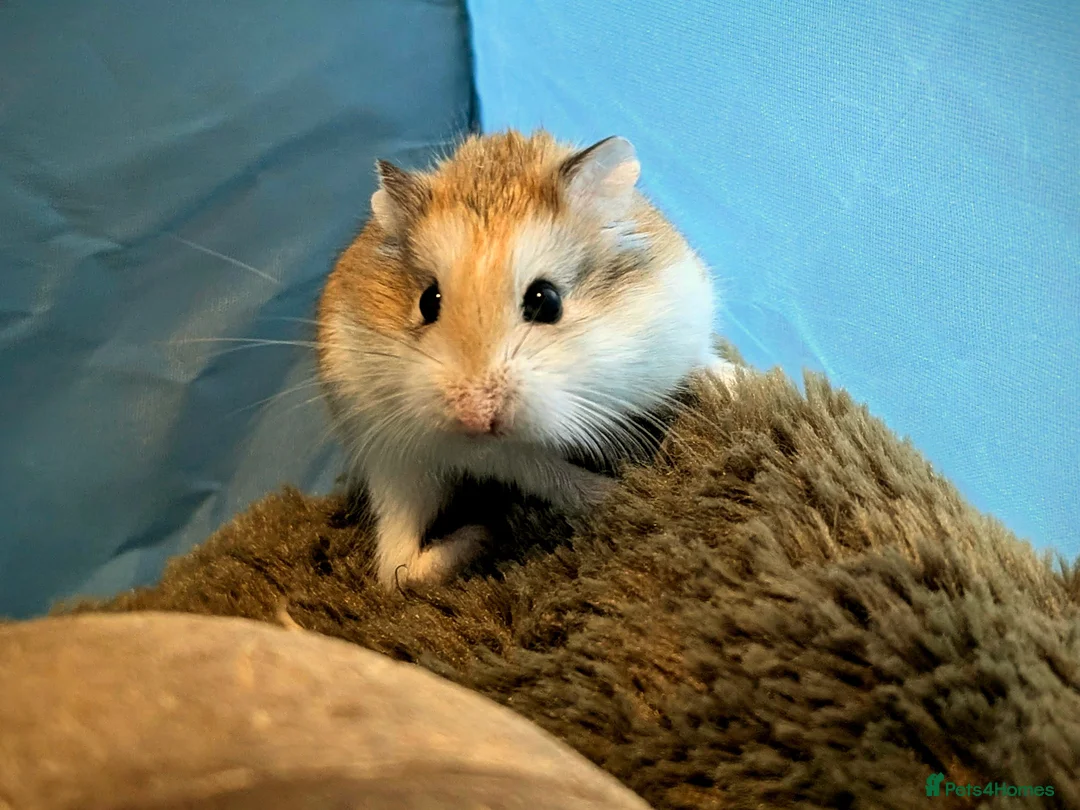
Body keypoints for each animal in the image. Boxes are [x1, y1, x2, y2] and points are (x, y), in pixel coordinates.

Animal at [316, 129, 735, 591]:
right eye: (427, 301)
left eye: (546, 301)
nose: (475, 418)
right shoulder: (486, 452)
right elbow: (545, 471)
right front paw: (617, 490)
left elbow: (701, 359)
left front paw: (738, 381)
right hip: (393, 458)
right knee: (396, 568)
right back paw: (482, 536)